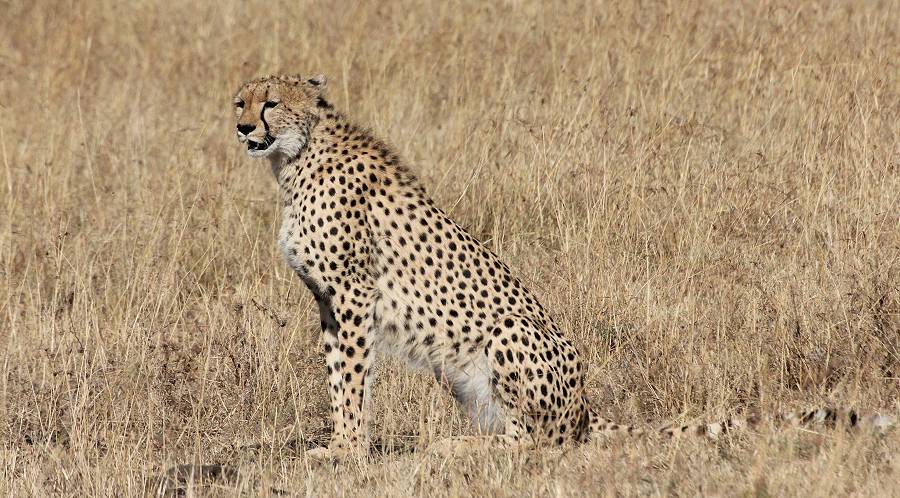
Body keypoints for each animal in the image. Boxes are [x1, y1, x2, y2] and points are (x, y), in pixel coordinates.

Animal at [232, 74, 892, 460]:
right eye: (241, 100)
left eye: (270, 103)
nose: (240, 126)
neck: (295, 157)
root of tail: (584, 410)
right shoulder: (328, 301)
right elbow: (338, 376)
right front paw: (339, 443)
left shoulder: (351, 295)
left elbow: (350, 379)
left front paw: (345, 450)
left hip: (508, 333)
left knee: (534, 442)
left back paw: (452, 446)